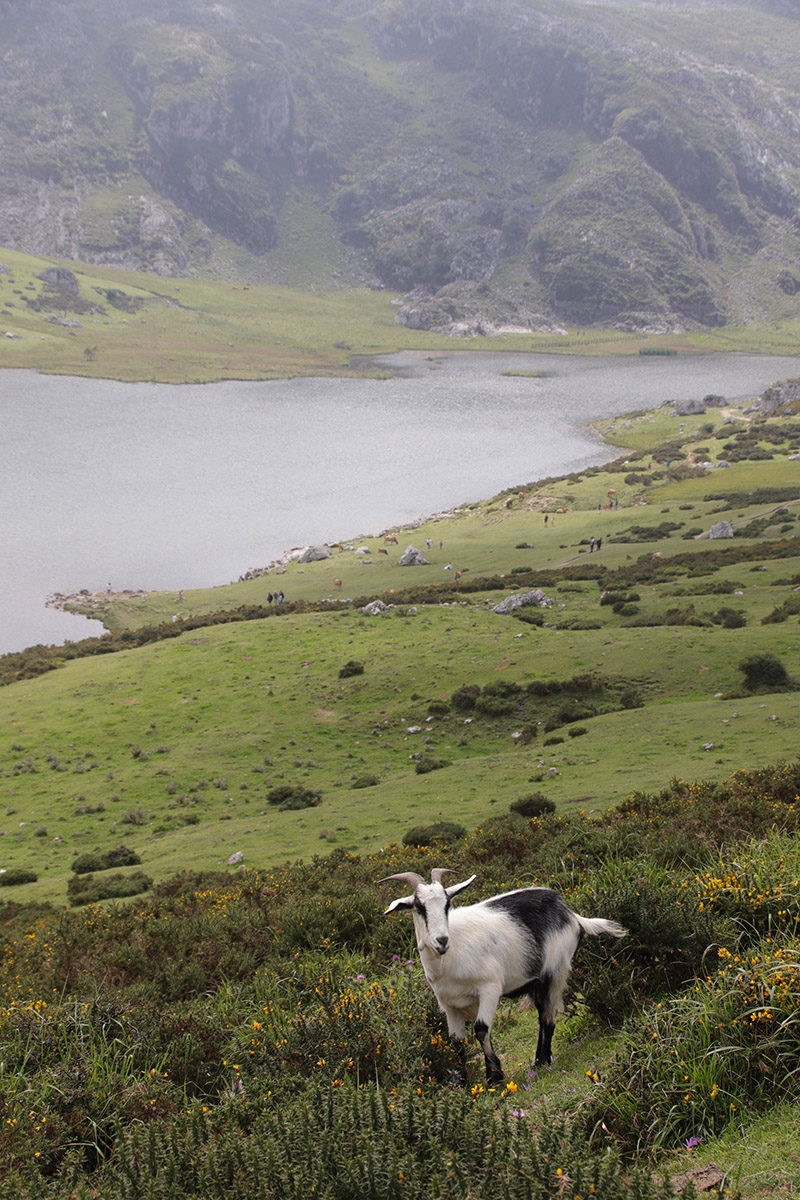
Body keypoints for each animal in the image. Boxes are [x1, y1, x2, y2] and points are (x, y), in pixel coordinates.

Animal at [381, 873, 623, 1089]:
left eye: (447, 904)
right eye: (419, 907)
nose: (441, 940)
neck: (449, 957)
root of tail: (571, 914)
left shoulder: (489, 987)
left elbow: (481, 1029)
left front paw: (494, 1076)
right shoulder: (449, 1005)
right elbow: (456, 1041)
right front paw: (459, 1082)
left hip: (557, 971)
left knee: (548, 1016)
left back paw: (543, 1061)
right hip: (536, 981)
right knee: (541, 1015)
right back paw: (536, 1062)